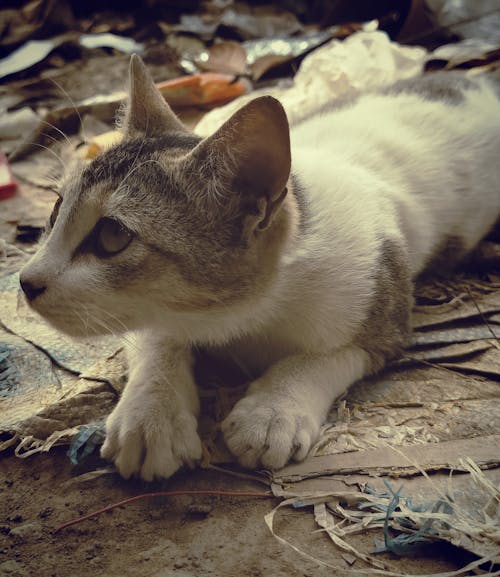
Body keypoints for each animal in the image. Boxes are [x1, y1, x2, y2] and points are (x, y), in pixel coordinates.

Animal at [19, 54, 500, 480]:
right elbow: (158, 336)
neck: (241, 316)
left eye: (113, 237)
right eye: (56, 210)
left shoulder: (385, 305)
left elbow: (332, 354)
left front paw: (275, 409)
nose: (25, 282)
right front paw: (151, 414)